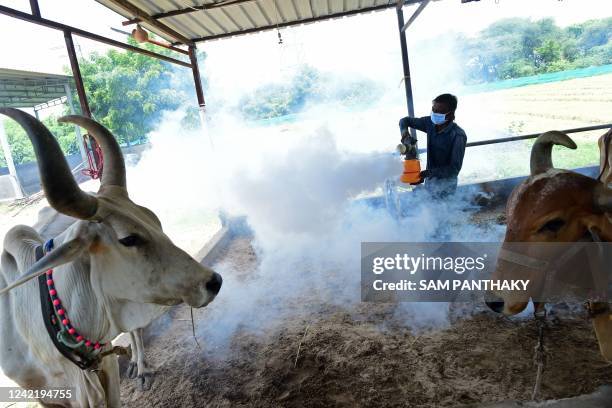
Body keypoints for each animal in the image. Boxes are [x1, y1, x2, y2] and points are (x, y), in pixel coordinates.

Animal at [0, 109, 224, 408]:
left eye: (155, 221)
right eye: (128, 239)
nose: (213, 281)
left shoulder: (105, 367)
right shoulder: (44, 393)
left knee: (137, 331)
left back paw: (141, 368)